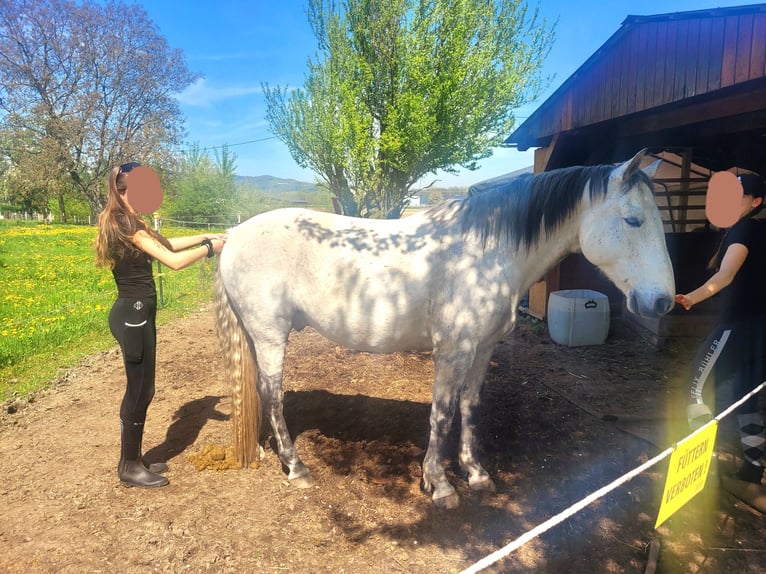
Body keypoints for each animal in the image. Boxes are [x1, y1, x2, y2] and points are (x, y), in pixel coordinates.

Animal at [216, 147, 680, 508]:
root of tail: (235, 234)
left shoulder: (483, 349)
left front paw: (475, 473)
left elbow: (470, 408)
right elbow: (442, 413)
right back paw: (296, 466)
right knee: (272, 394)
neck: (485, 253)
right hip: (270, 336)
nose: (662, 302)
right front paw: (438, 484)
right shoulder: (453, 350)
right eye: (634, 220)